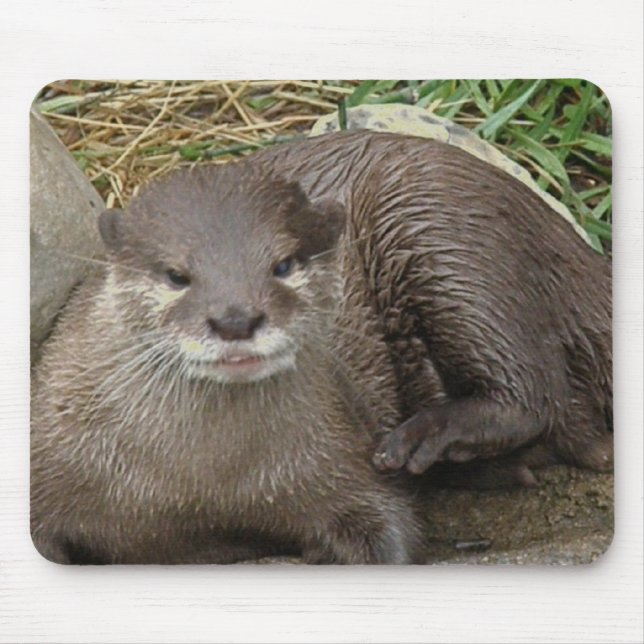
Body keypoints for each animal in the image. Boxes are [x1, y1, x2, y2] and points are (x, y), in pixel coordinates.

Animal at [31, 131, 612, 564]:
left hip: (438, 224)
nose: (236, 318)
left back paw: (426, 438)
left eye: (284, 265)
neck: (200, 491)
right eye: (177, 275)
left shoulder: (340, 456)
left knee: (536, 393)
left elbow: (390, 529)